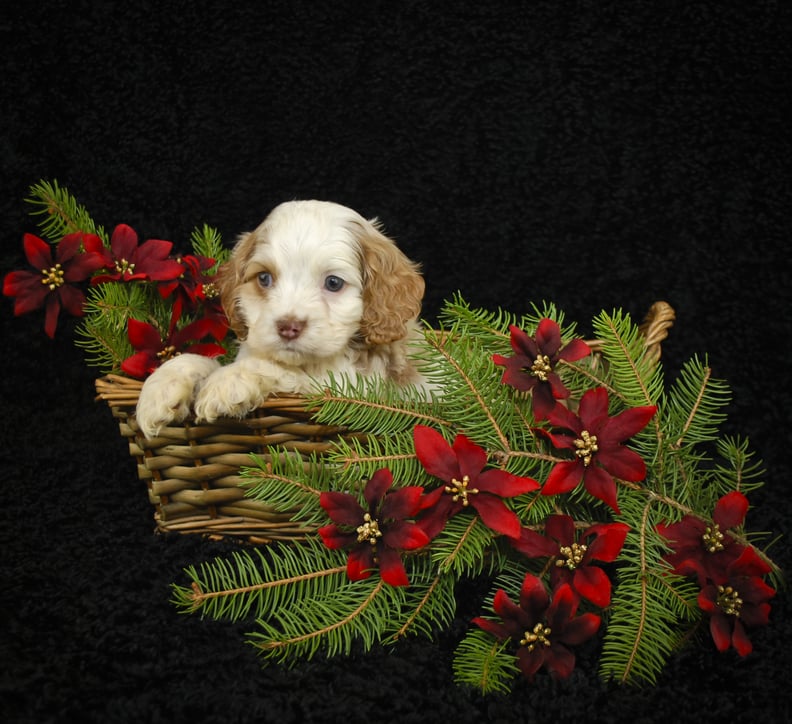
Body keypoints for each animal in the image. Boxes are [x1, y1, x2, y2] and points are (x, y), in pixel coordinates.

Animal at [135, 198, 426, 438]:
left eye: (333, 283)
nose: (288, 327)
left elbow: (284, 371)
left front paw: (230, 381)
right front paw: (161, 388)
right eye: (264, 278)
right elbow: (205, 360)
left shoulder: (355, 391)